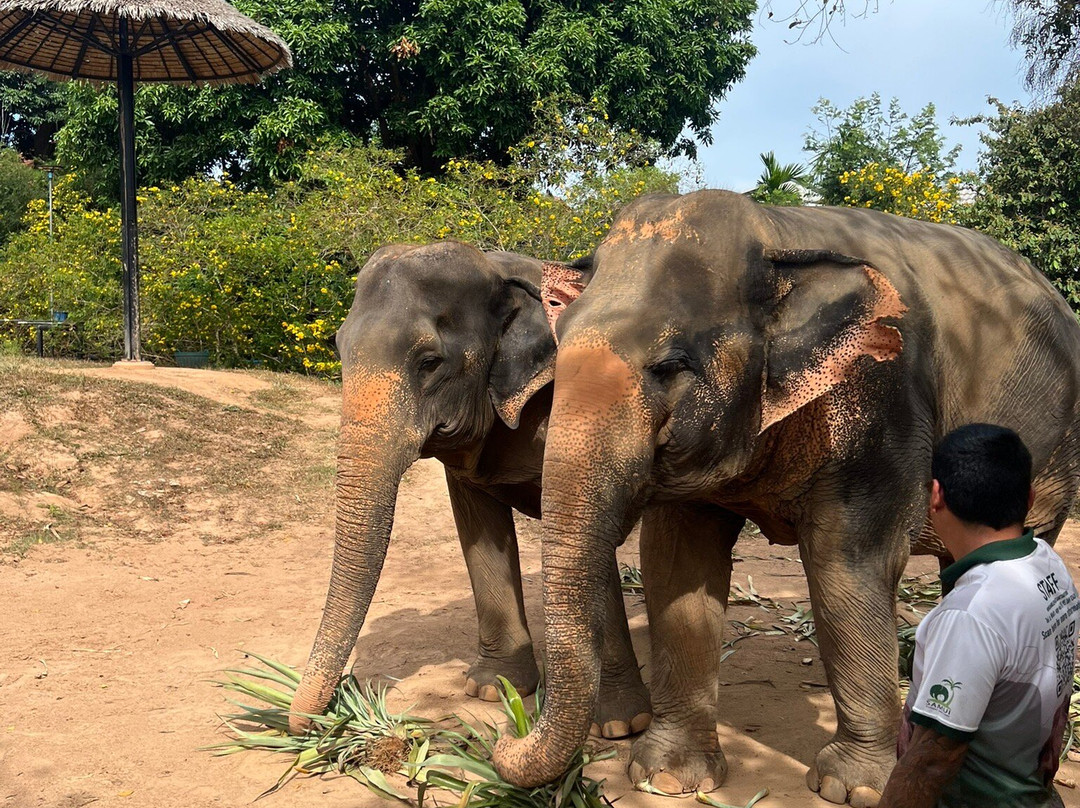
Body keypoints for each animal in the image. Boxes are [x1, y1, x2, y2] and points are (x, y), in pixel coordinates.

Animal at [287, 240, 651, 740]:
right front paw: (492, 688)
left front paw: (621, 725)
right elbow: (479, 528)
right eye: (339, 349)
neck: (498, 268)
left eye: (429, 362)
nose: (305, 722)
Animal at [492, 190, 1080, 806]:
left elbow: (846, 566)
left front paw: (853, 789)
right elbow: (676, 563)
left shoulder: (883, 410)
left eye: (671, 365)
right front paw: (669, 777)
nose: (505, 737)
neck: (775, 232)